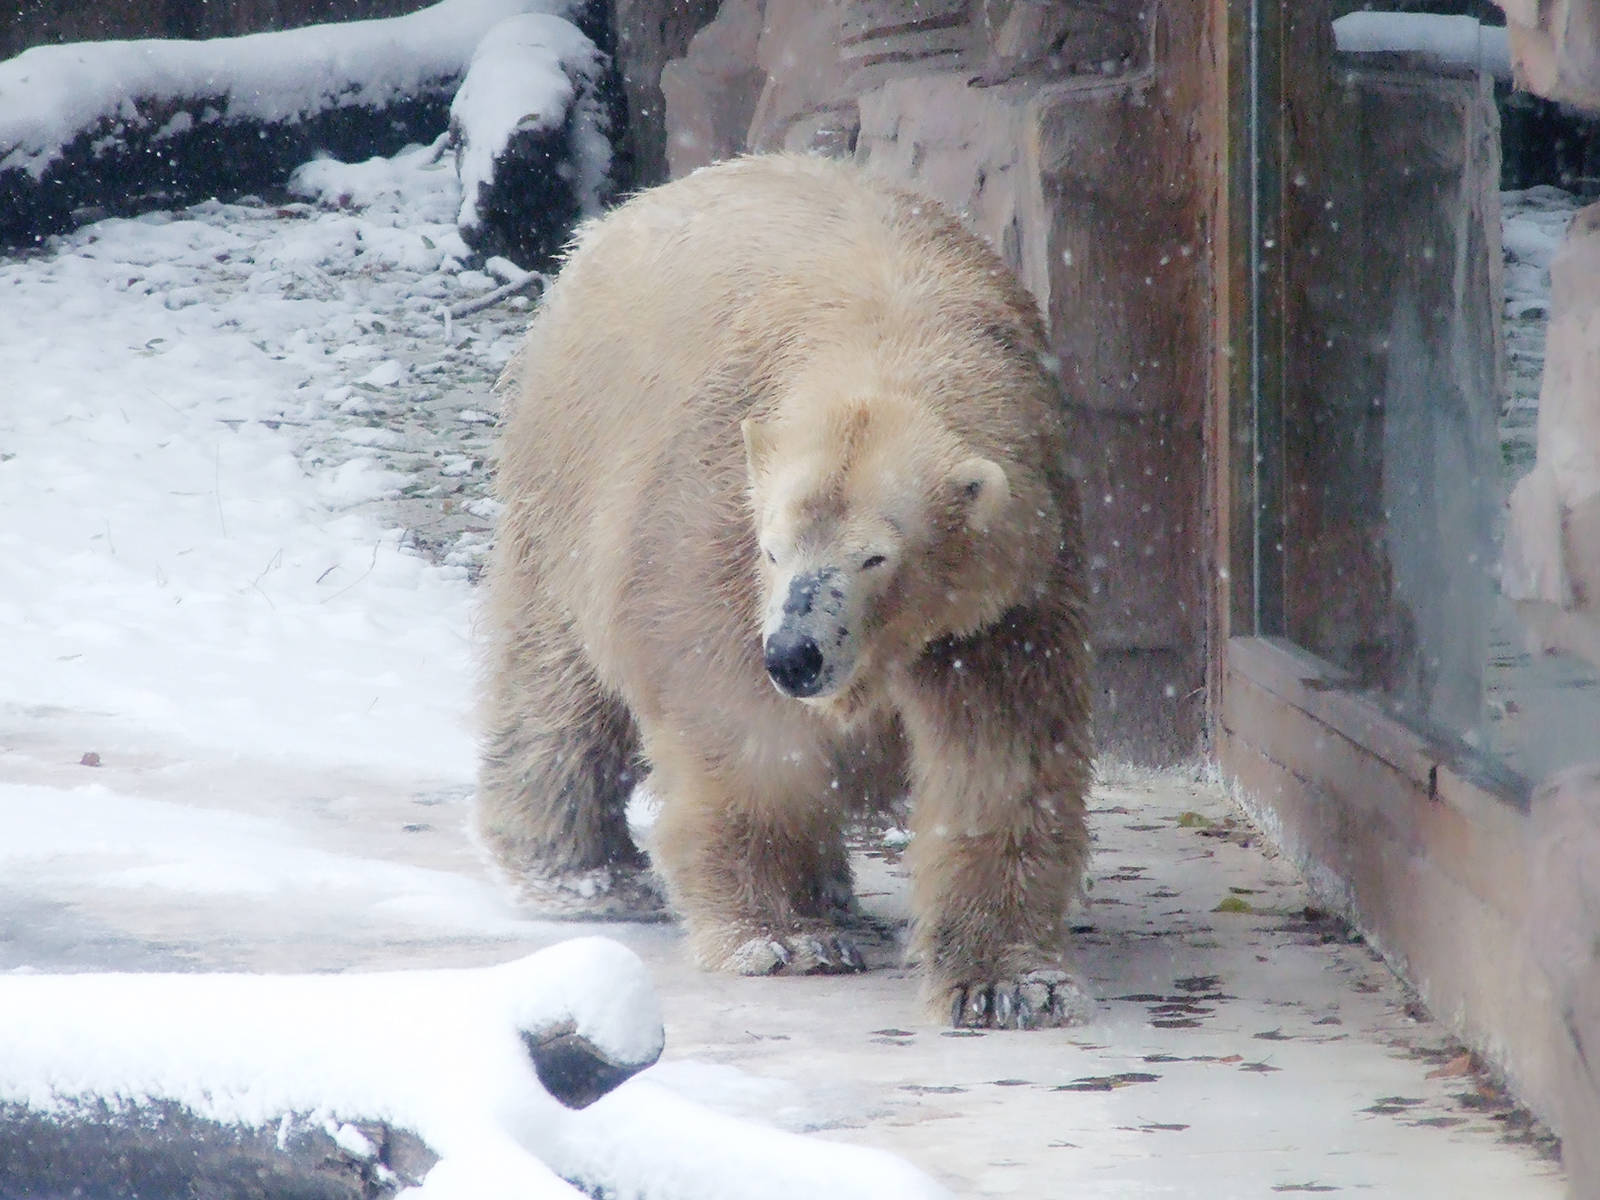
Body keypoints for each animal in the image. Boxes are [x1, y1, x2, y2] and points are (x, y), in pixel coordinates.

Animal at [476, 153, 1094, 1028]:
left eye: (876, 558)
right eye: (772, 549)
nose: (796, 654)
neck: (888, 331)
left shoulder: (1013, 586)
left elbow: (1001, 754)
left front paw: (1007, 983)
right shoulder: (708, 520)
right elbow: (739, 725)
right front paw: (782, 938)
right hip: (568, 468)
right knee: (559, 684)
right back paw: (583, 873)